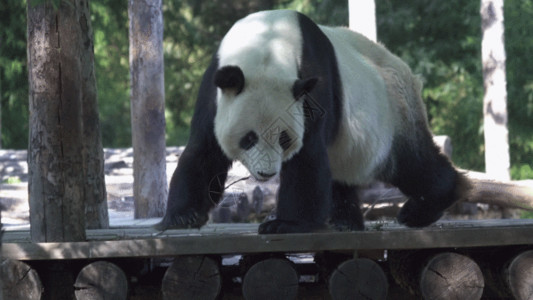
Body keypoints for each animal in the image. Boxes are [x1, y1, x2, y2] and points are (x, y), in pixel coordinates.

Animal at [156, 9, 468, 234]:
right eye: (249, 137)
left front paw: (284, 224)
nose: (267, 173)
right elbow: (204, 150)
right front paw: (182, 216)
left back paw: (418, 210)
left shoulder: (313, 87)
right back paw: (345, 220)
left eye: (283, 138)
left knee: (414, 165)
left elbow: (307, 157)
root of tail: (407, 71)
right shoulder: (215, 88)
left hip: (394, 113)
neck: (267, 43)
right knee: (341, 175)